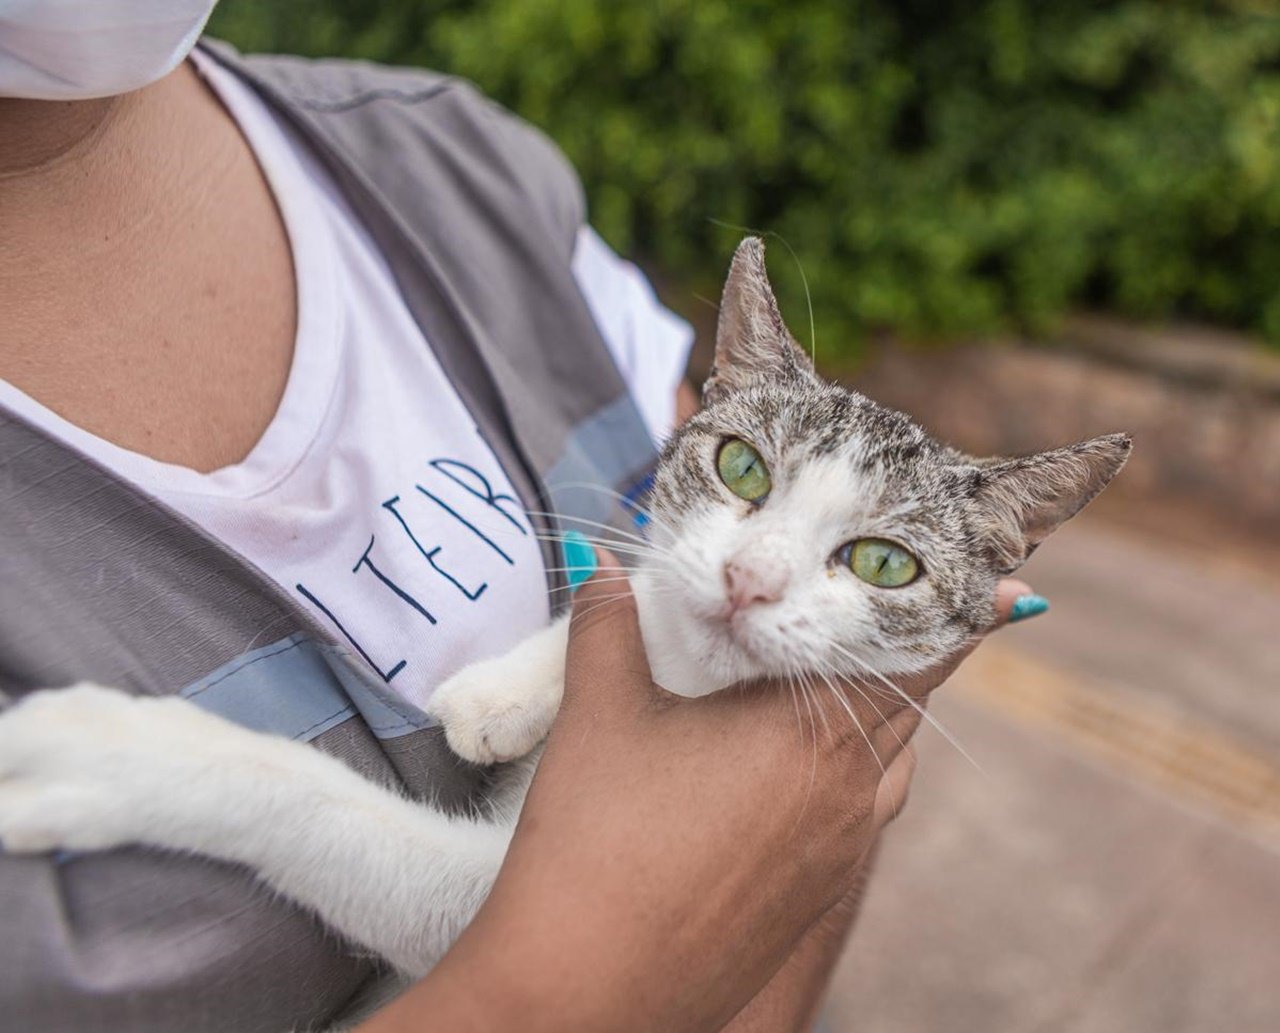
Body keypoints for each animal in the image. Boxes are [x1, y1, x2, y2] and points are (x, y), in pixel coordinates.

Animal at [0, 238, 1131, 983]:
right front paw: (506, 693)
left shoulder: (487, 906)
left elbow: (323, 810)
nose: (751, 579)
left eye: (884, 563)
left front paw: (108, 752)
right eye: (741, 467)